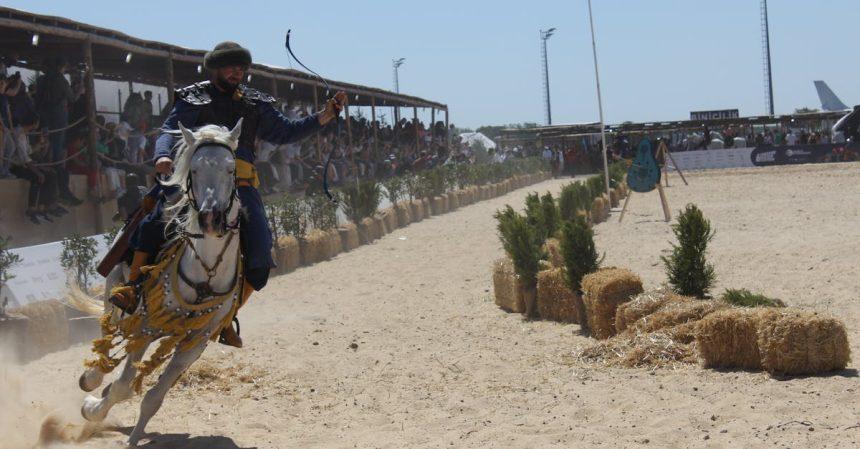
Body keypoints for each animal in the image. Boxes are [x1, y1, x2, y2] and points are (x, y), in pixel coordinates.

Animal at [76, 118, 244, 444]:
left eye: (231, 169)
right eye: (194, 169)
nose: (211, 219)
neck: (205, 272)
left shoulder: (195, 341)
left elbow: (153, 397)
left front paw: (133, 435)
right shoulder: (145, 325)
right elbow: (123, 386)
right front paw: (92, 409)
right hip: (115, 291)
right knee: (107, 336)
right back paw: (91, 379)